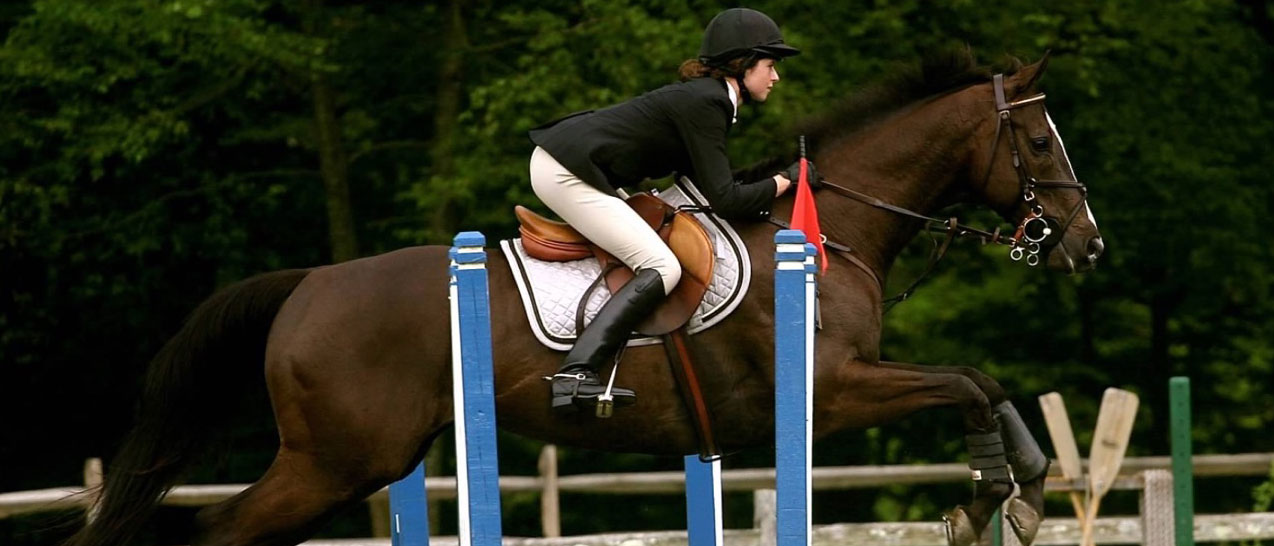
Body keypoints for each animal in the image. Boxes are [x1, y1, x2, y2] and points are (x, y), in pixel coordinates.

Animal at [72, 50, 1105, 544]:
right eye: (1040, 143)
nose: (1086, 244)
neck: (833, 224)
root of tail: (308, 286)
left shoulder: (856, 381)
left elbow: (984, 380)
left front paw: (1022, 492)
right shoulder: (832, 389)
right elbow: (965, 382)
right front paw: (987, 498)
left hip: (355, 461)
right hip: (335, 461)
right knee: (220, 528)